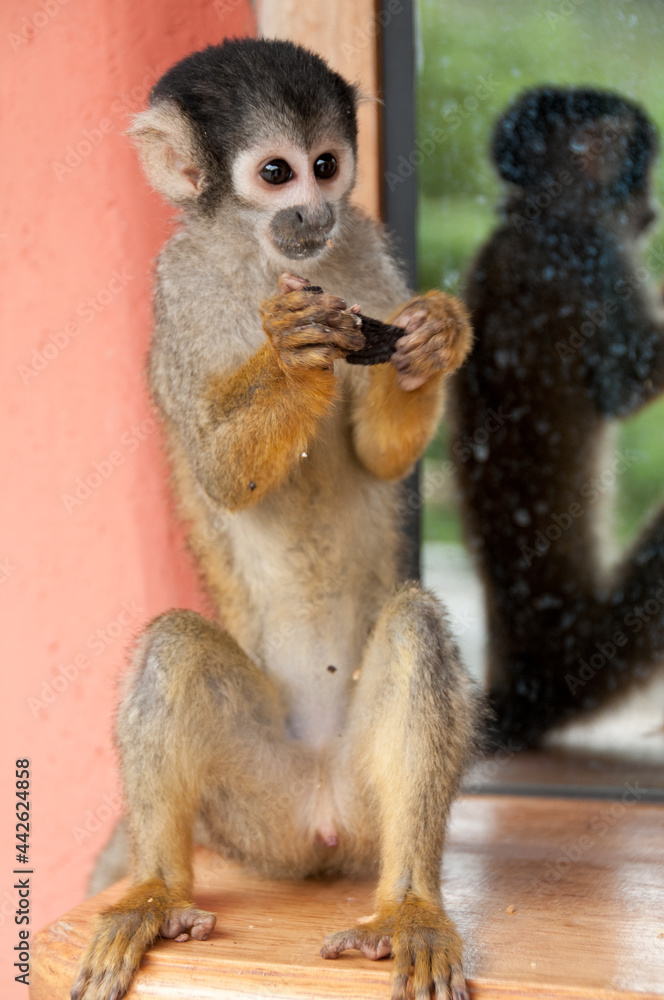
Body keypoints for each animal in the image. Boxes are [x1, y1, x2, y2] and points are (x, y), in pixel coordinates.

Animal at [71, 39, 478, 1000]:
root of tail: (318, 821)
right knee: (172, 646)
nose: (313, 211)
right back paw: (157, 889)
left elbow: (380, 455)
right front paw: (294, 358)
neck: (265, 260)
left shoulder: (363, 250)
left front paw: (434, 340)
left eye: (327, 166)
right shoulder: (176, 289)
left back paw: (408, 904)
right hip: (250, 815)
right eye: (276, 174)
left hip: (358, 806)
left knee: (415, 631)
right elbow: (223, 476)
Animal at [448, 86, 664, 749]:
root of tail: (519, 685)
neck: (535, 219)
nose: (651, 211)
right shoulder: (594, 256)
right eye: (638, 181)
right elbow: (625, 390)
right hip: (590, 656)